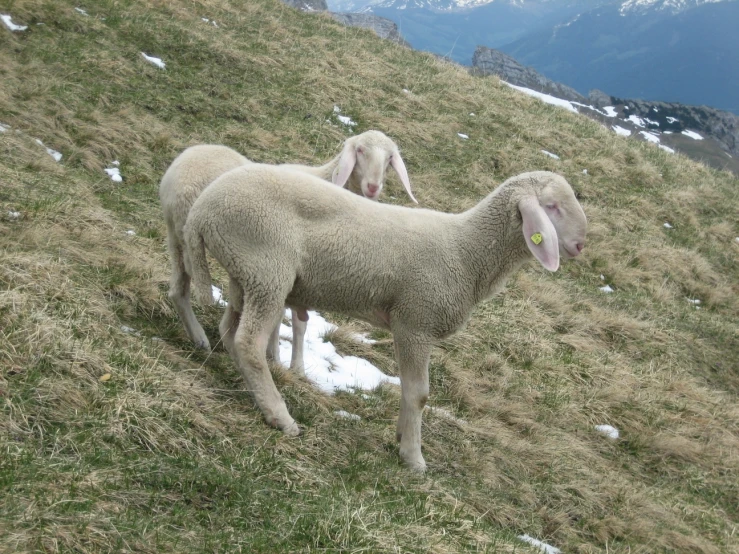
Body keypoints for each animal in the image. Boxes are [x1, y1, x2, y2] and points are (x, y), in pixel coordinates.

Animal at [158, 130, 416, 356]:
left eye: (390, 158)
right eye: (360, 150)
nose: (373, 187)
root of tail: (180, 165)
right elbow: (293, 322)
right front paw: (282, 360)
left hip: (176, 238)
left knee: (178, 289)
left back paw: (197, 336)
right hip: (190, 239)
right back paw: (200, 336)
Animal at [185, 166, 588, 468]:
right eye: (552, 206)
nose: (581, 245)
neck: (466, 252)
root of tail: (202, 208)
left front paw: (402, 435)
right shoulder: (415, 322)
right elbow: (418, 393)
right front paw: (412, 456)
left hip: (245, 274)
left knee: (229, 329)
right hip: (267, 267)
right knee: (249, 342)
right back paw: (280, 416)